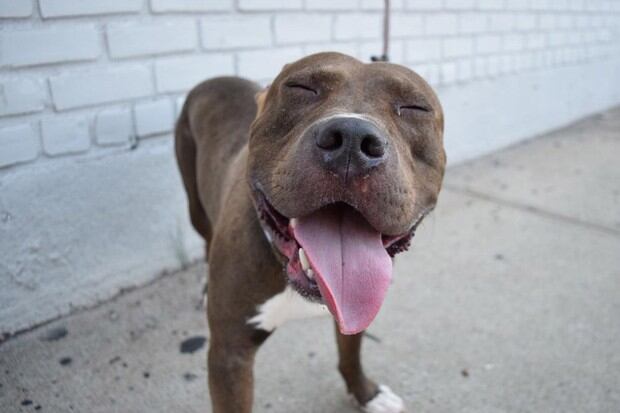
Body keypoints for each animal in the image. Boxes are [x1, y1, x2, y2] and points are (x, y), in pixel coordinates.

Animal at [174, 52, 446, 412]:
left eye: (415, 107)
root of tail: (215, 78)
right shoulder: (229, 353)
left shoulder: (356, 309)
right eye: (301, 88)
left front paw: (365, 393)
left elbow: (351, 353)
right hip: (194, 203)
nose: (352, 139)